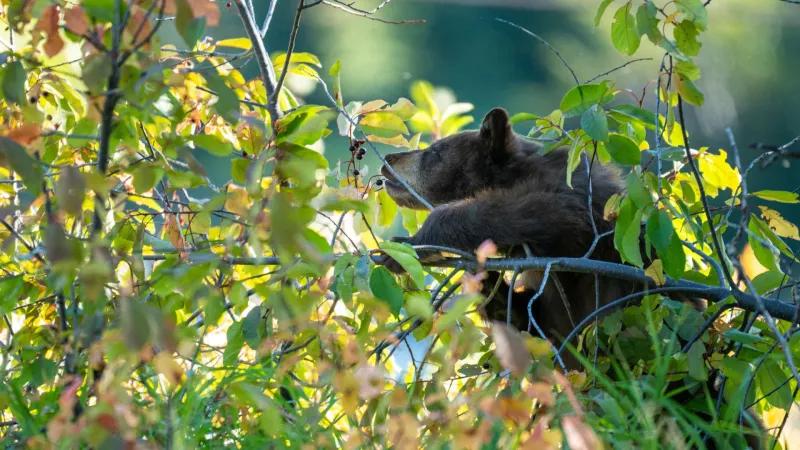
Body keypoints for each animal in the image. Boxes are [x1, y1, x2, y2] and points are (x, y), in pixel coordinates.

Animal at [378, 107, 765, 449]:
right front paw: (487, 284)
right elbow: (535, 327)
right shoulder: (548, 294)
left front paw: (409, 243)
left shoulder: (583, 208)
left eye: (434, 151)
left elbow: (548, 210)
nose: (389, 159)